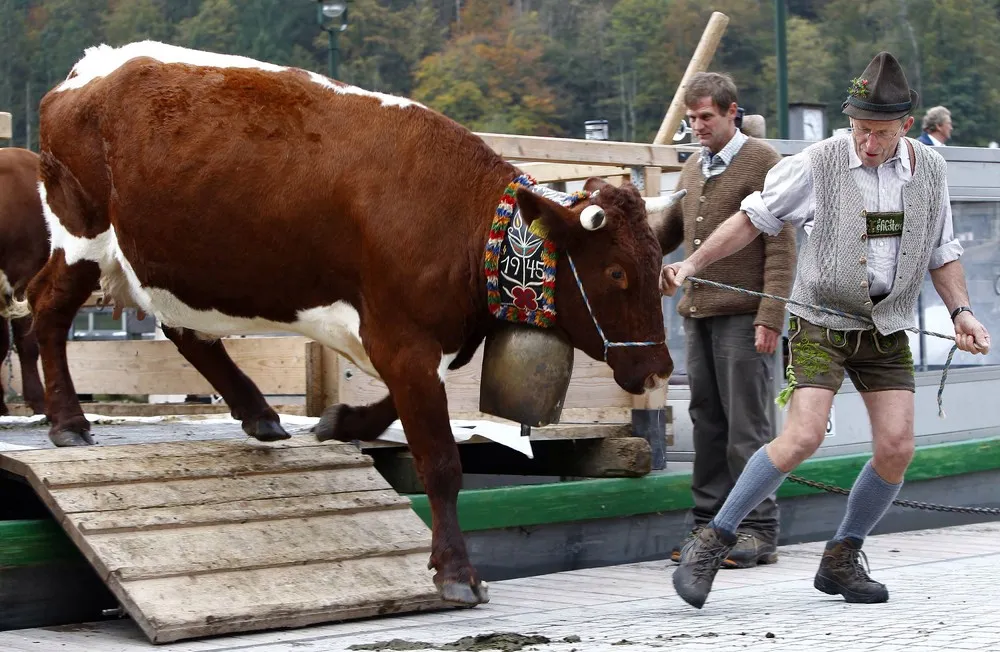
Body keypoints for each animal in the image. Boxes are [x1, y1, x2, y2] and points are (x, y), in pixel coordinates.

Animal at [35, 42, 684, 608]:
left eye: (659, 264)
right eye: (618, 273)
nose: (660, 369)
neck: (466, 221)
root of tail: (89, 69)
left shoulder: (416, 342)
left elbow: (395, 409)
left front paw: (341, 421)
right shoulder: (402, 338)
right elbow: (440, 461)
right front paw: (456, 573)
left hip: (174, 265)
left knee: (184, 332)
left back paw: (260, 414)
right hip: (80, 233)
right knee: (48, 310)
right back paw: (69, 423)